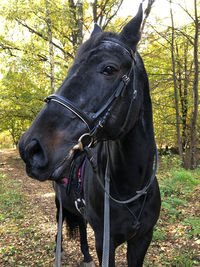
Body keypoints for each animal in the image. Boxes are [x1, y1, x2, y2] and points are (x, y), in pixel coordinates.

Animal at [18, 4, 161, 267]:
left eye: (109, 68)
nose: (30, 147)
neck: (131, 189)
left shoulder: (142, 240)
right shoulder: (106, 242)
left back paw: (85, 256)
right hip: (60, 204)